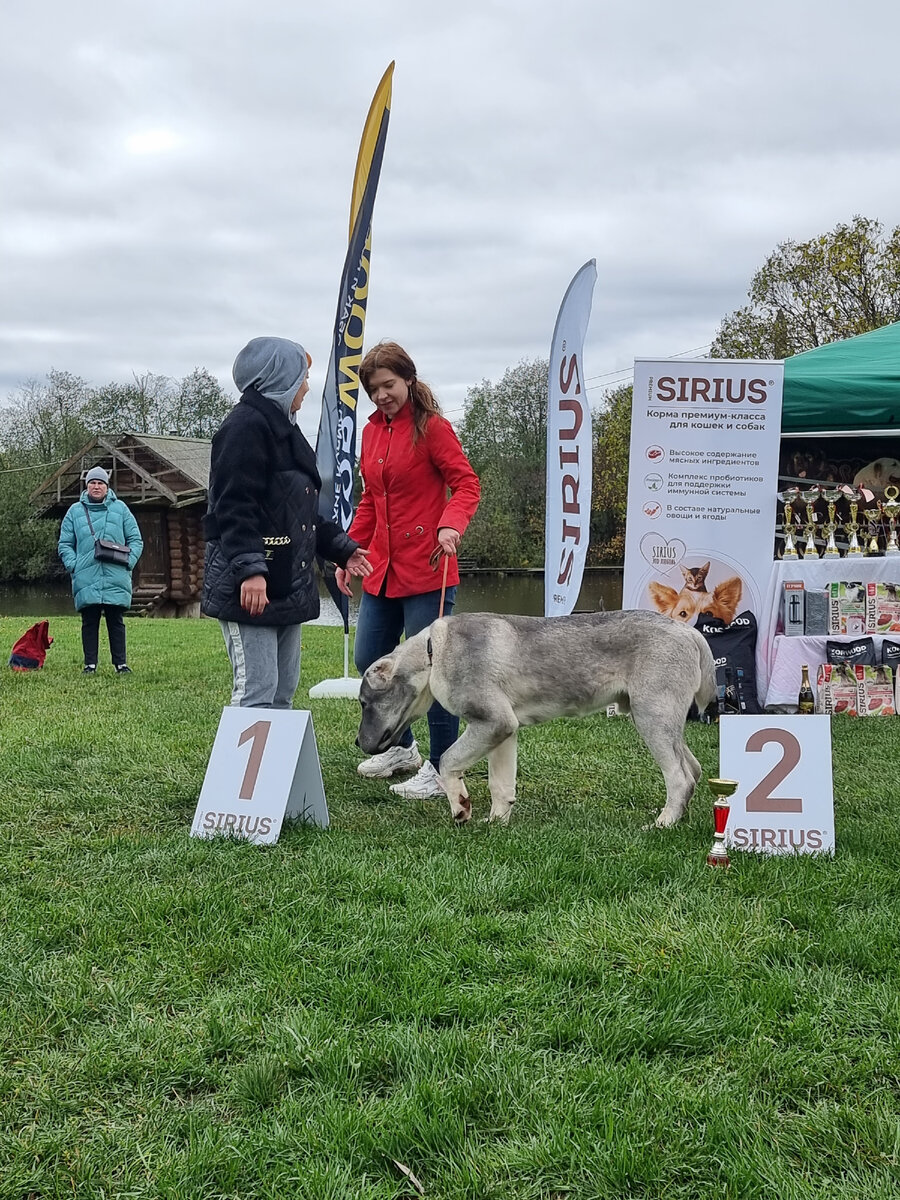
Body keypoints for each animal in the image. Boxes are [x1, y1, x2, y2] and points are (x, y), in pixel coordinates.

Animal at [360, 609, 720, 825]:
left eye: (364, 703)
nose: (357, 742)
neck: (433, 653)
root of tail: (689, 632)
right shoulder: (503, 731)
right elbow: (500, 783)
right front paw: (497, 821)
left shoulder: (492, 722)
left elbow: (449, 760)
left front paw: (460, 807)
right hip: (664, 724)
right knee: (693, 769)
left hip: (652, 719)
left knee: (679, 777)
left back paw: (663, 823)